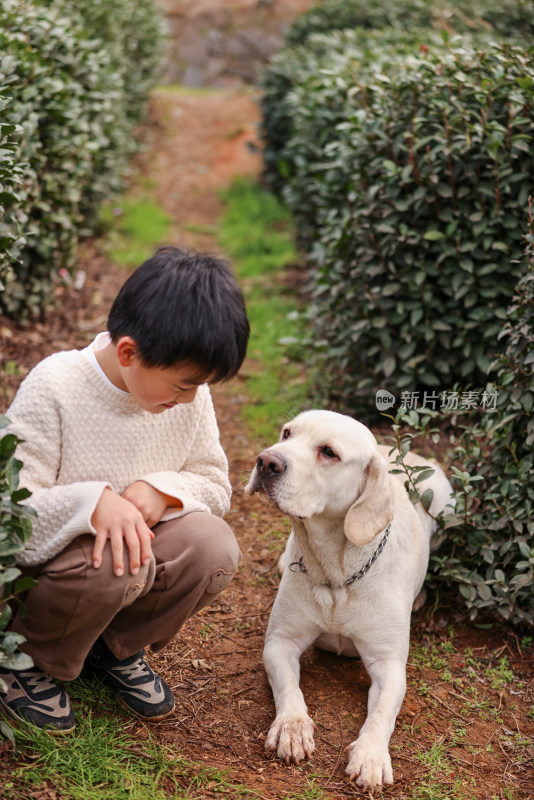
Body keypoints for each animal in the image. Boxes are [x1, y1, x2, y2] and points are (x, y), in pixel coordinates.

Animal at [246, 410, 452, 792]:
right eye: (286, 434)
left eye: (329, 452)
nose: (266, 461)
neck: (336, 573)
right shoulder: (280, 642)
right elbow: (288, 688)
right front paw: (292, 728)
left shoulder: (389, 665)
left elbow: (382, 713)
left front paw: (371, 755)